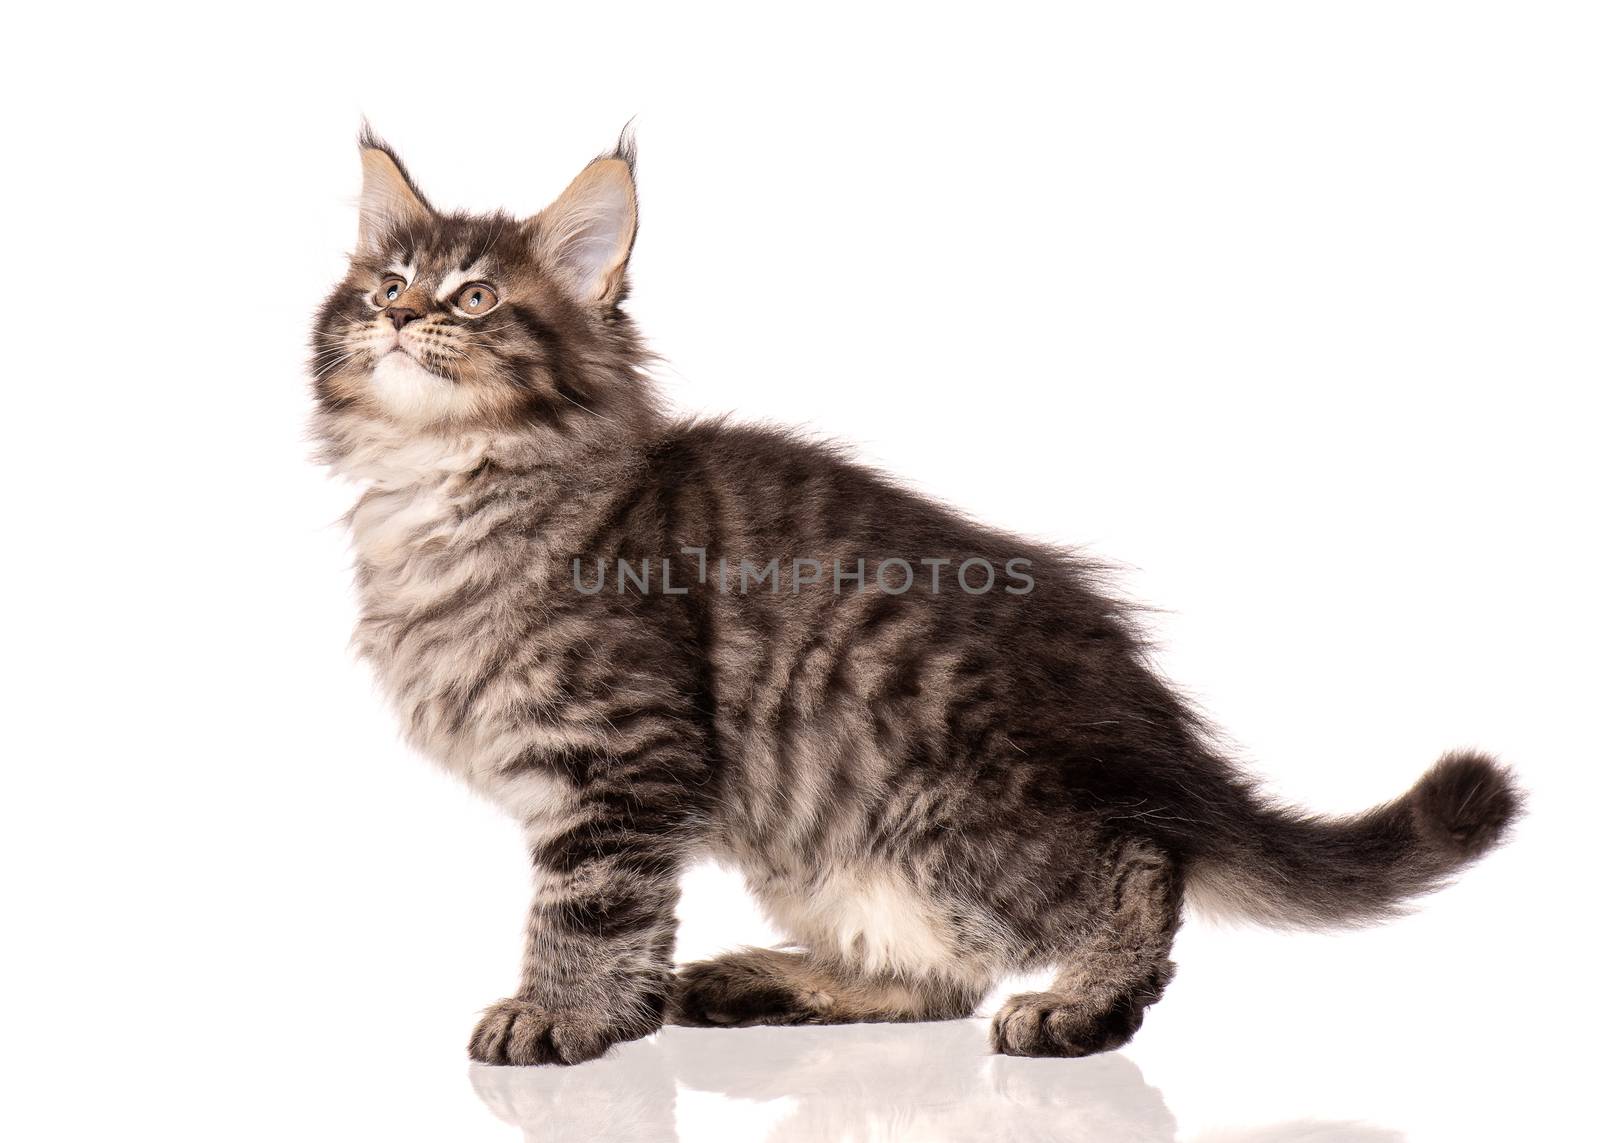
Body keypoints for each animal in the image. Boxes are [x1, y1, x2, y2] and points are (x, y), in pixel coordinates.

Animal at [305, 133, 1516, 1069]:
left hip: (954, 805)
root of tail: (1151, 729)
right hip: (821, 844)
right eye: (383, 288)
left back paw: (1083, 1002)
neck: (444, 485)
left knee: (1135, 868)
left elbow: (590, 907)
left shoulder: (629, 759)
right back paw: (765, 984)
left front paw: (558, 1015)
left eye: (475, 297)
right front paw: (619, 1014)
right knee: (941, 977)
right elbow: (631, 924)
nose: (401, 319)